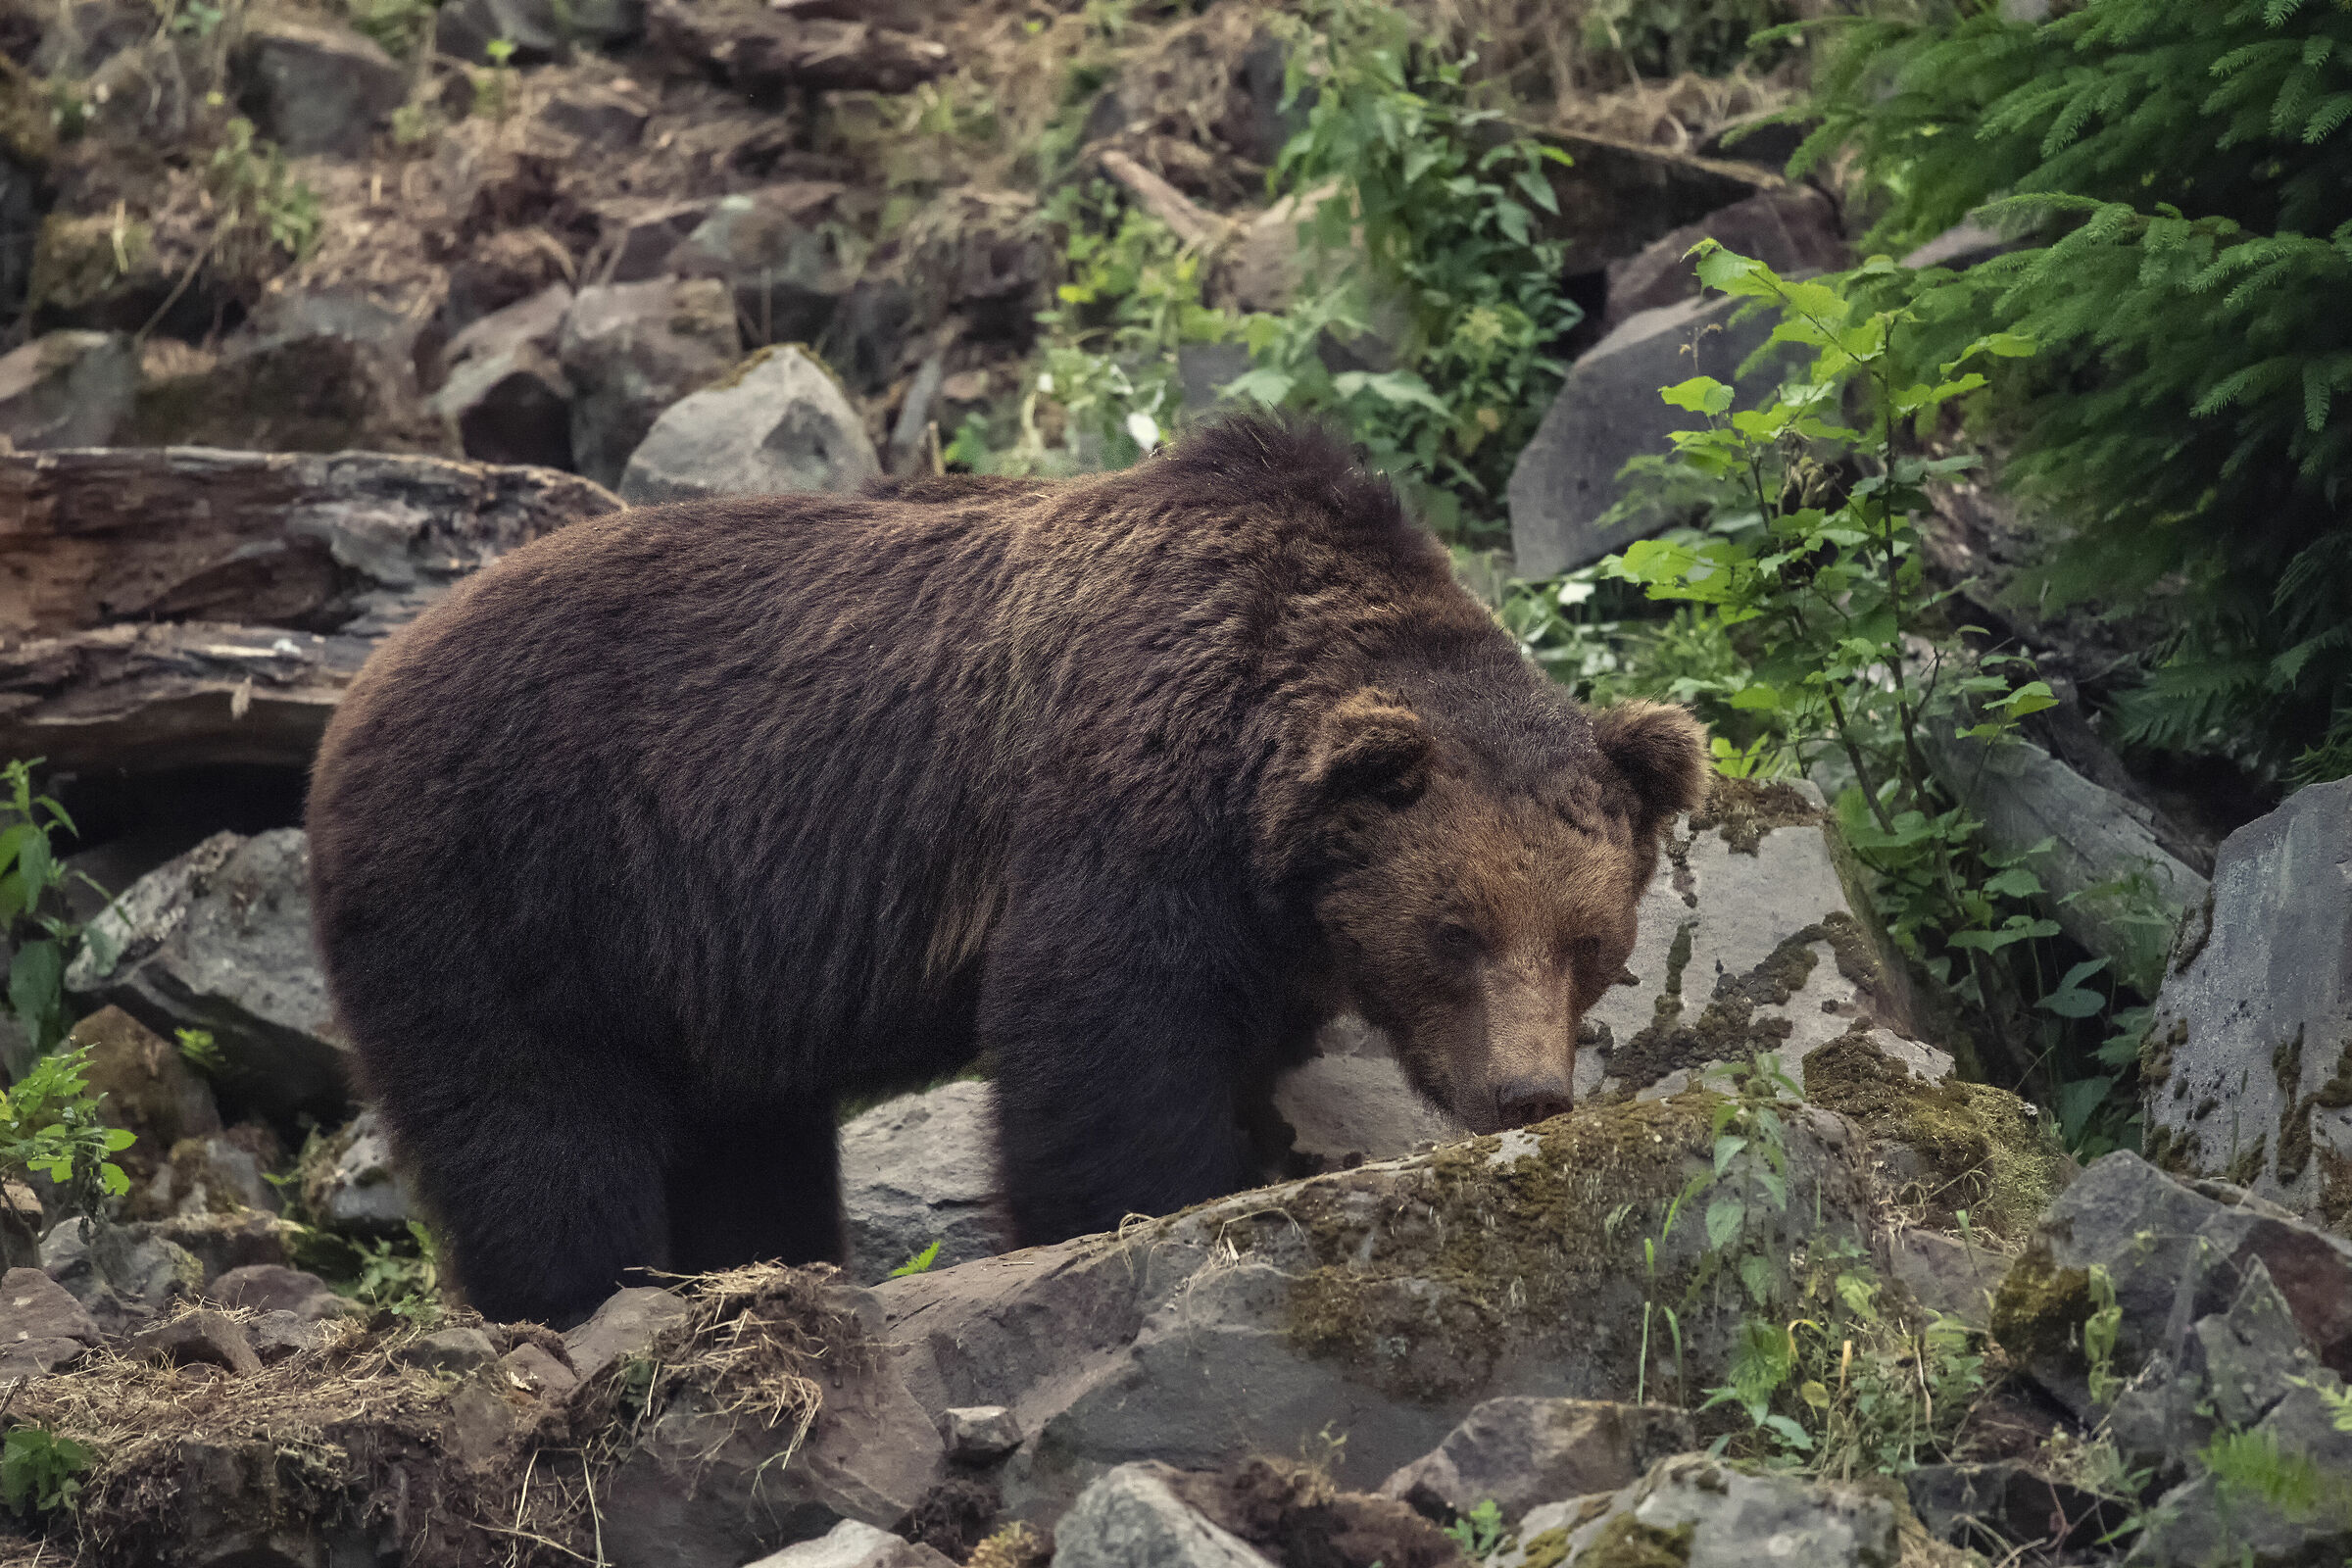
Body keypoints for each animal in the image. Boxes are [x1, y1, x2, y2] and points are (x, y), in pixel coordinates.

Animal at [306, 417, 1708, 1329]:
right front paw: (1149, 1207)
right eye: (1455, 931)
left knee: (741, 1135)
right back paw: (581, 1296)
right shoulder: (1120, 818)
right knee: (532, 1120)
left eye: (1592, 944)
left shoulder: (1258, 919)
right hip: (515, 875)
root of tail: (360, 687)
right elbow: (1100, 1049)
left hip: (691, 961)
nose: (1527, 1092)